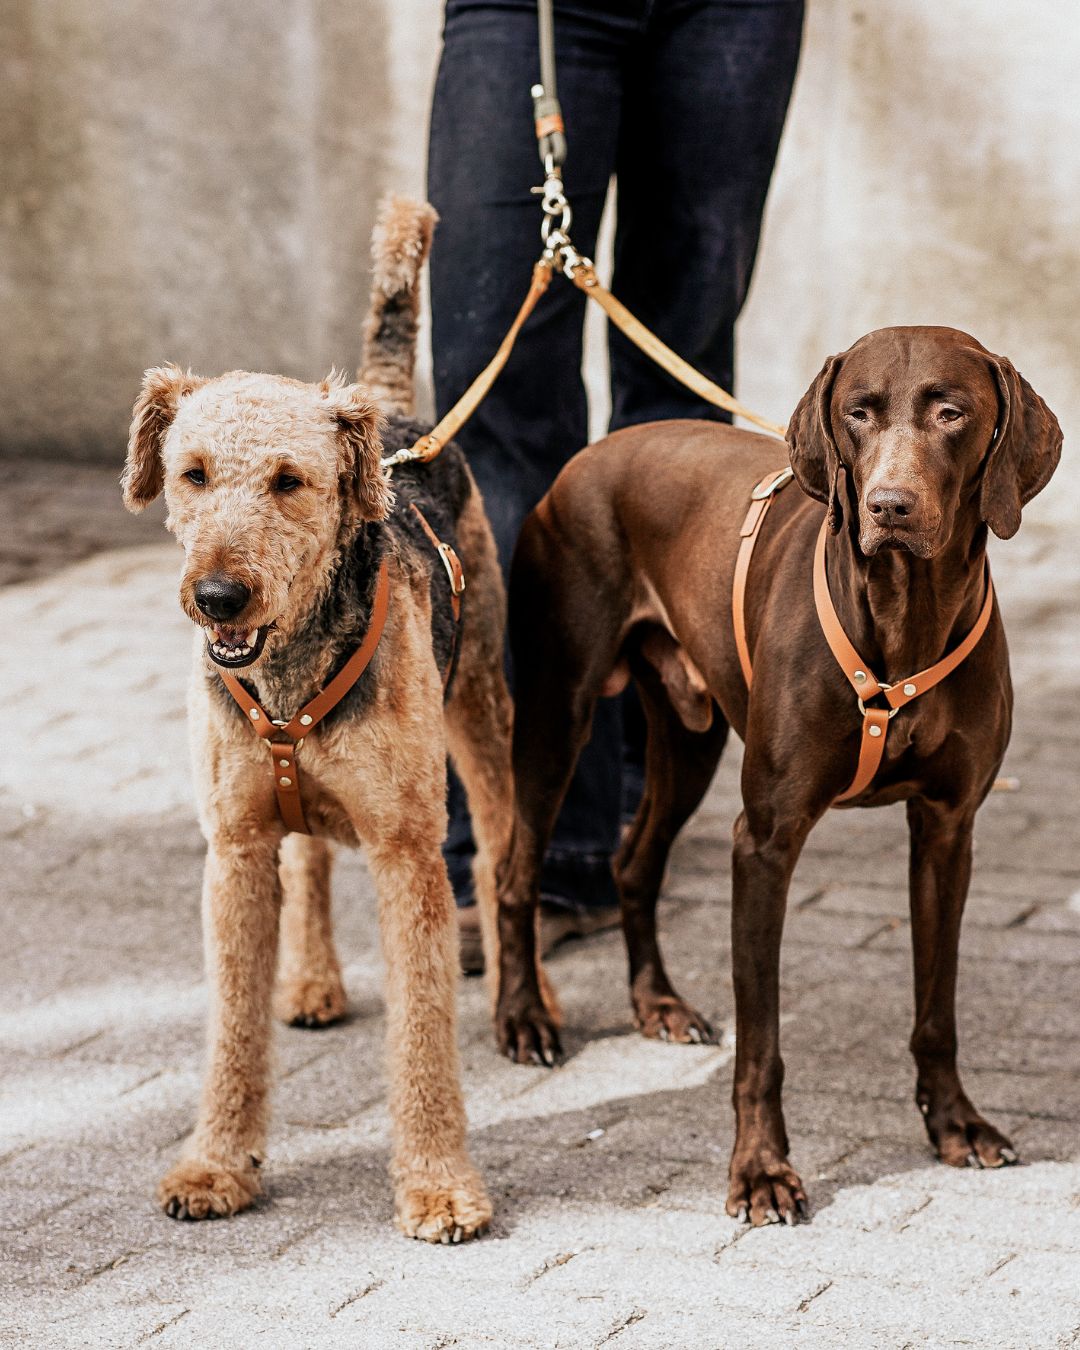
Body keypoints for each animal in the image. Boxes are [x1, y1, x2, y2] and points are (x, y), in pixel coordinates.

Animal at [124, 199, 513, 1242]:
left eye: (290, 481)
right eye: (191, 474)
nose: (219, 597)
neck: (289, 675)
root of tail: (389, 413)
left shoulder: (409, 849)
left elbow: (423, 1030)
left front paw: (439, 1186)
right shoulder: (235, 845)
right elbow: (232, 1024)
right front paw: (215, 1167)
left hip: (483, 722)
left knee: (504, 868)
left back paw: (525, 1007)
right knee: (309, 860)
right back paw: (310, 982)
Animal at [491, 324, 1063, 1225]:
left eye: (951, 411)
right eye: (858, 412)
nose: (889, 507)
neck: (903, 618)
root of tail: (593, 454)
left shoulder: (947, 831)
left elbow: (936, 1008)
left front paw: (954, 1123)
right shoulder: (764, 839)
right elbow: (762, 1043)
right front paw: (761, 1170)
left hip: (688, 739)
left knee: (633, 861)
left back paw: (657, 1003)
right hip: (557, 714)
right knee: (515, 872)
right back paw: (523, 1020)